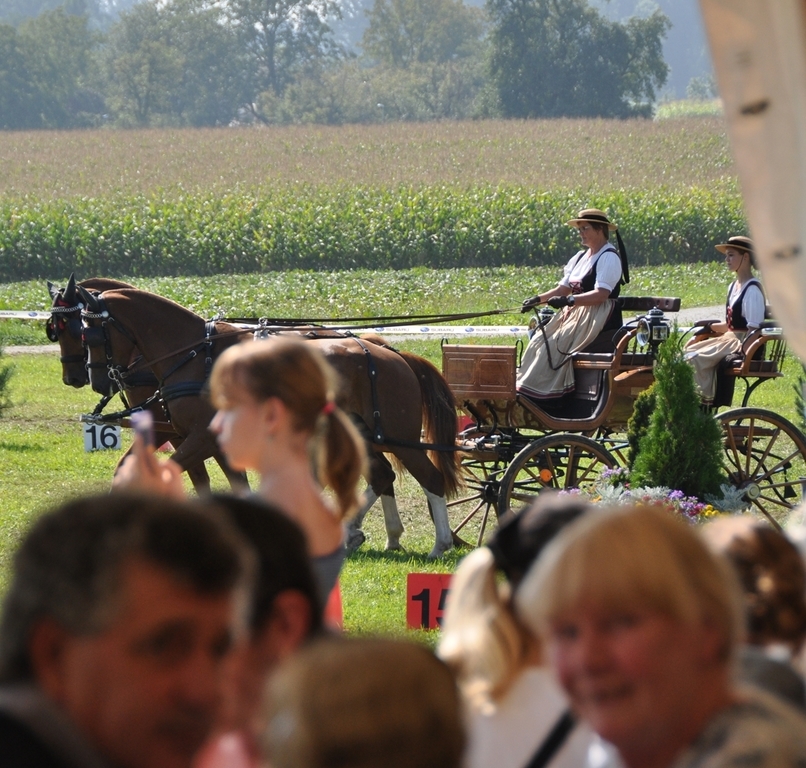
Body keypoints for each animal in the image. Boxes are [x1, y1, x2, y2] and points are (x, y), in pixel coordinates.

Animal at [47, 276, 248, 492]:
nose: (71, 378)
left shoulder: (200, 436)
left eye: (82, 332)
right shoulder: (176, 431)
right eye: (54, 331)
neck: (195, 354)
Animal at [79, 284, 464, 556]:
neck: (195, 356)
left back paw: (439, 544)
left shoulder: (200, 437)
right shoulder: (204, 439)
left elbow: (173, 470)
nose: (96, 380)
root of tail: (394, 354)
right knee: (383, 475)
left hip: (401, 438)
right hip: (364, 434)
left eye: (91, 334)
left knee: (429, 478)